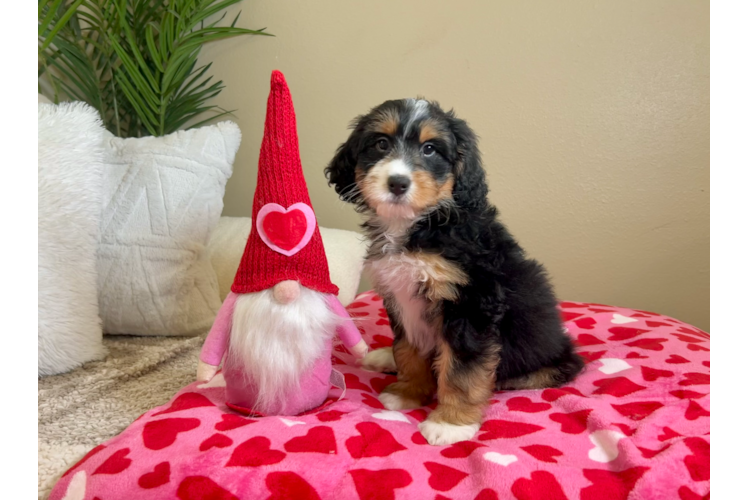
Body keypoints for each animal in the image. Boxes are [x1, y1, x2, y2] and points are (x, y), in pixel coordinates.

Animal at [326, 98, 584, 446]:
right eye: (381, 144)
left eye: (430, 149)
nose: (398, 183)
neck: (420, 225)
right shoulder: (402, 298)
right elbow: (408, 348)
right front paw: (408, 392)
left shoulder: (470, 304)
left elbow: (461, 369)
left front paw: (450, 422)